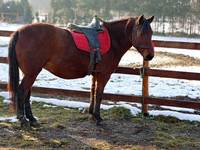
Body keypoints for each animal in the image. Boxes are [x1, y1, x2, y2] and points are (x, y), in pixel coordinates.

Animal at [7, 14, 155, 126]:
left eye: (152, 33)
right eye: (141, 33)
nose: (150, 56)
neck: (113, 40)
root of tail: (19, 32)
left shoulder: (95, 75)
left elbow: (93, 92)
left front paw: (92, 114)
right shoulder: (103, 75)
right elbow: (99, 95)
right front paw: (98, 117)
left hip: (29, 73)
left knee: (27, 94)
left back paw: (32, 119)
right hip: (31, 73)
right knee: (22, 92)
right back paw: (23, 120)